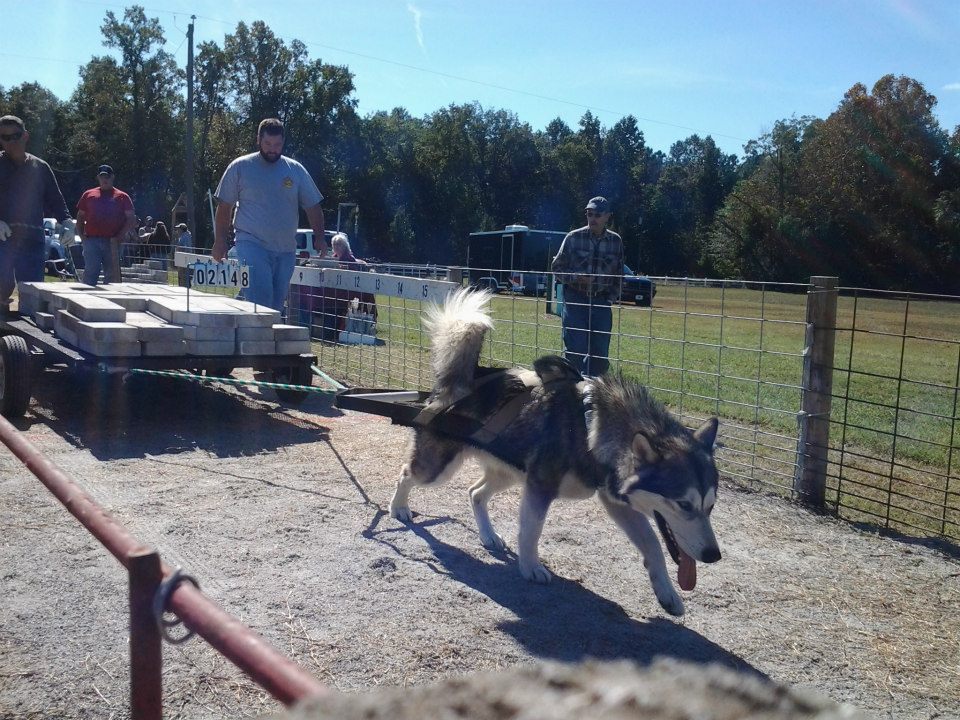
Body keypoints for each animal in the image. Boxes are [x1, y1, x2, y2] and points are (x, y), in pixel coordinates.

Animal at [390, 290, 720, 616]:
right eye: (684, 504)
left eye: (710, 506)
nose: (713, 555)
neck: (590, 425)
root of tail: (467, 378)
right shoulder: (540, 487)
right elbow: (531, 531)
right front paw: (530, 567)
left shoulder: (615, 500)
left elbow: (653, 545)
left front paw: (667, 593)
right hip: (437, 468)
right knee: (406, 473)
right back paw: (399, 508)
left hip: (509, 471)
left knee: (475, 492)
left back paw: (488, 535)